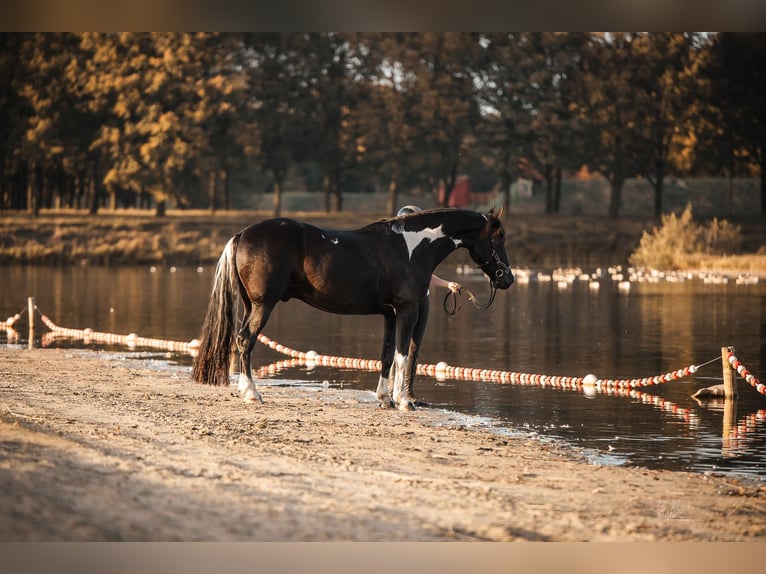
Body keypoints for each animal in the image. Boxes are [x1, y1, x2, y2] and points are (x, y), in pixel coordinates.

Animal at [191, 207, 516, 410]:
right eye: (499, 237)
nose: (508, 279)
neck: (410, 248)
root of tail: (241, 235)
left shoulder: (389, 313)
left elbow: (386, 355)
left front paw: (385, 399)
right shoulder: (407, 311)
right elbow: (402, 355)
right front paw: (403, 402)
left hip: (251, 305)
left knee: (241, 341)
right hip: (263, 306)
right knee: (245, 340)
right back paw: (252, 394)